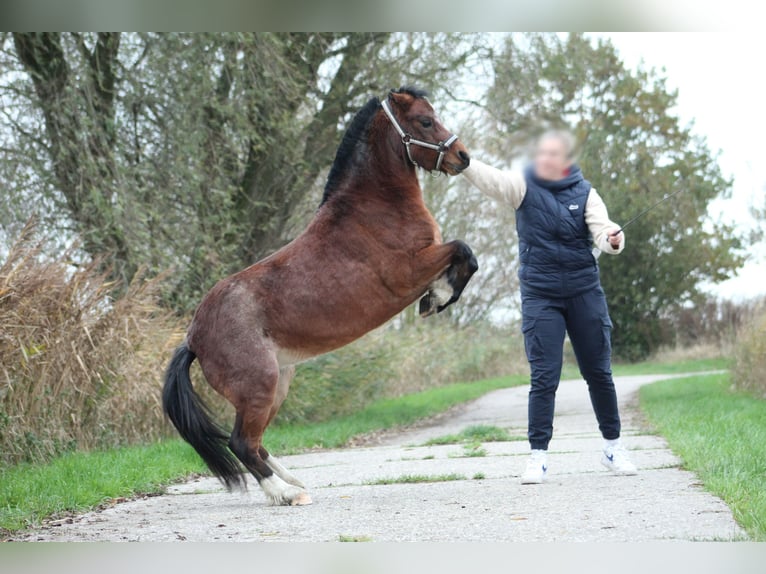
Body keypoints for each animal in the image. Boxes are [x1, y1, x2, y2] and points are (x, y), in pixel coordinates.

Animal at [162, 86, 478, 506]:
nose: (463, 156)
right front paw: (438, 297)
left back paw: (293, 482)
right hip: (259, 386)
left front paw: (435, 297)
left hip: (277, 385)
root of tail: (192, 337)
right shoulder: (409, 270)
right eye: (425, 121)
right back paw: (286, 494)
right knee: (241, 442)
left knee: (254, 442)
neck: (374, 208)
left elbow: (463, 254)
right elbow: (464, 251)